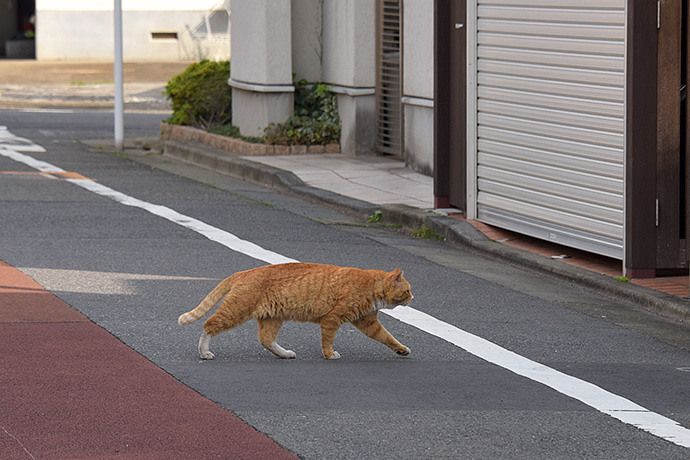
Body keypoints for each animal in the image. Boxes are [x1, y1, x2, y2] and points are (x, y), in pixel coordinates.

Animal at [179, 262, 414, 360]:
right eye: (408, 290)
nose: (414, 298)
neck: (371, 285)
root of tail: (243, 272)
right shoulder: (332, 319)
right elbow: (327, 340)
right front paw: (330, 354)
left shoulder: (368, 323)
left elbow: (387, 337)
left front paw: (401, 350)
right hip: (236, 311)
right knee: (208, 325)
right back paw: (204, 352)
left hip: (272, 317)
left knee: (266, 339)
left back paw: (284, 354)